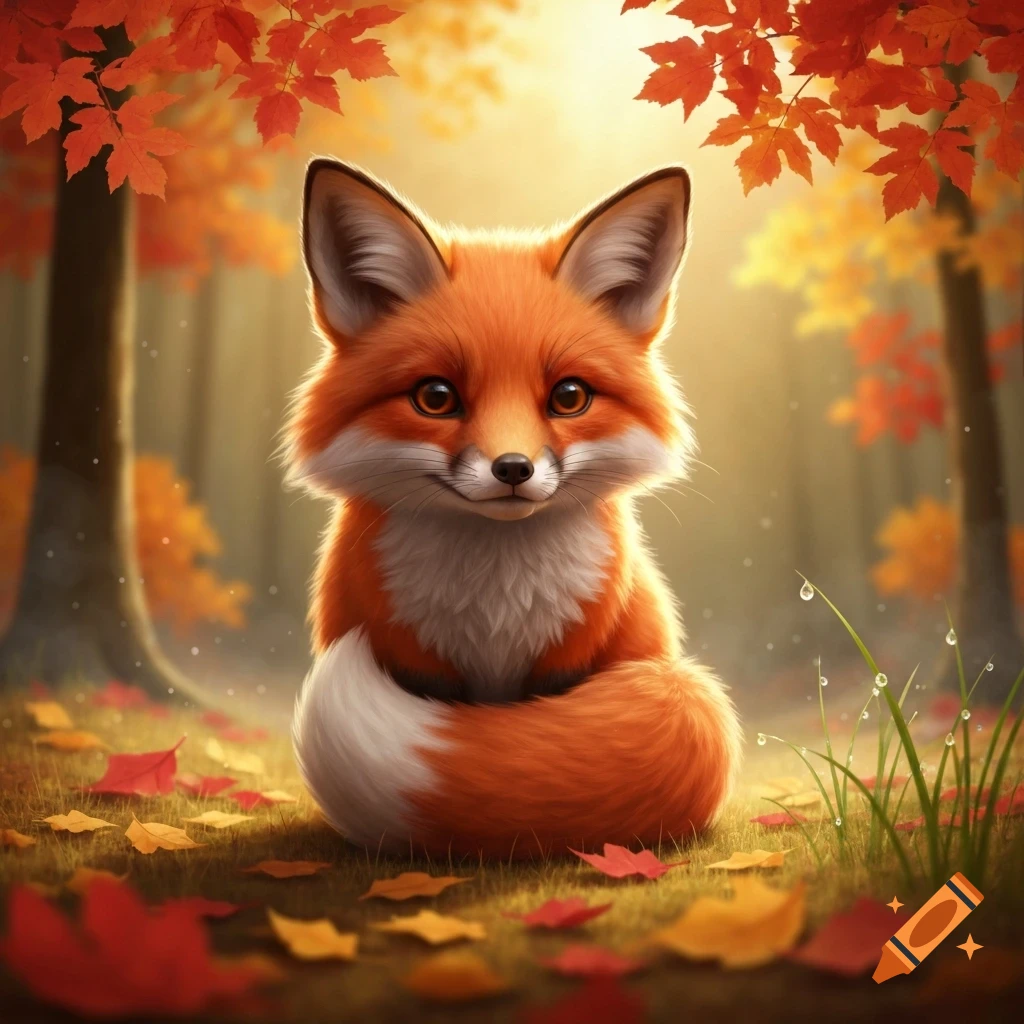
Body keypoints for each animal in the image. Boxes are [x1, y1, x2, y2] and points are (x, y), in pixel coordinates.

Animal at [287, 159, 742, 858]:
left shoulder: (572, 658)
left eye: (570, 397)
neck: (494, 605)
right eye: (436, 397)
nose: (513, 470)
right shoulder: (410, 657)